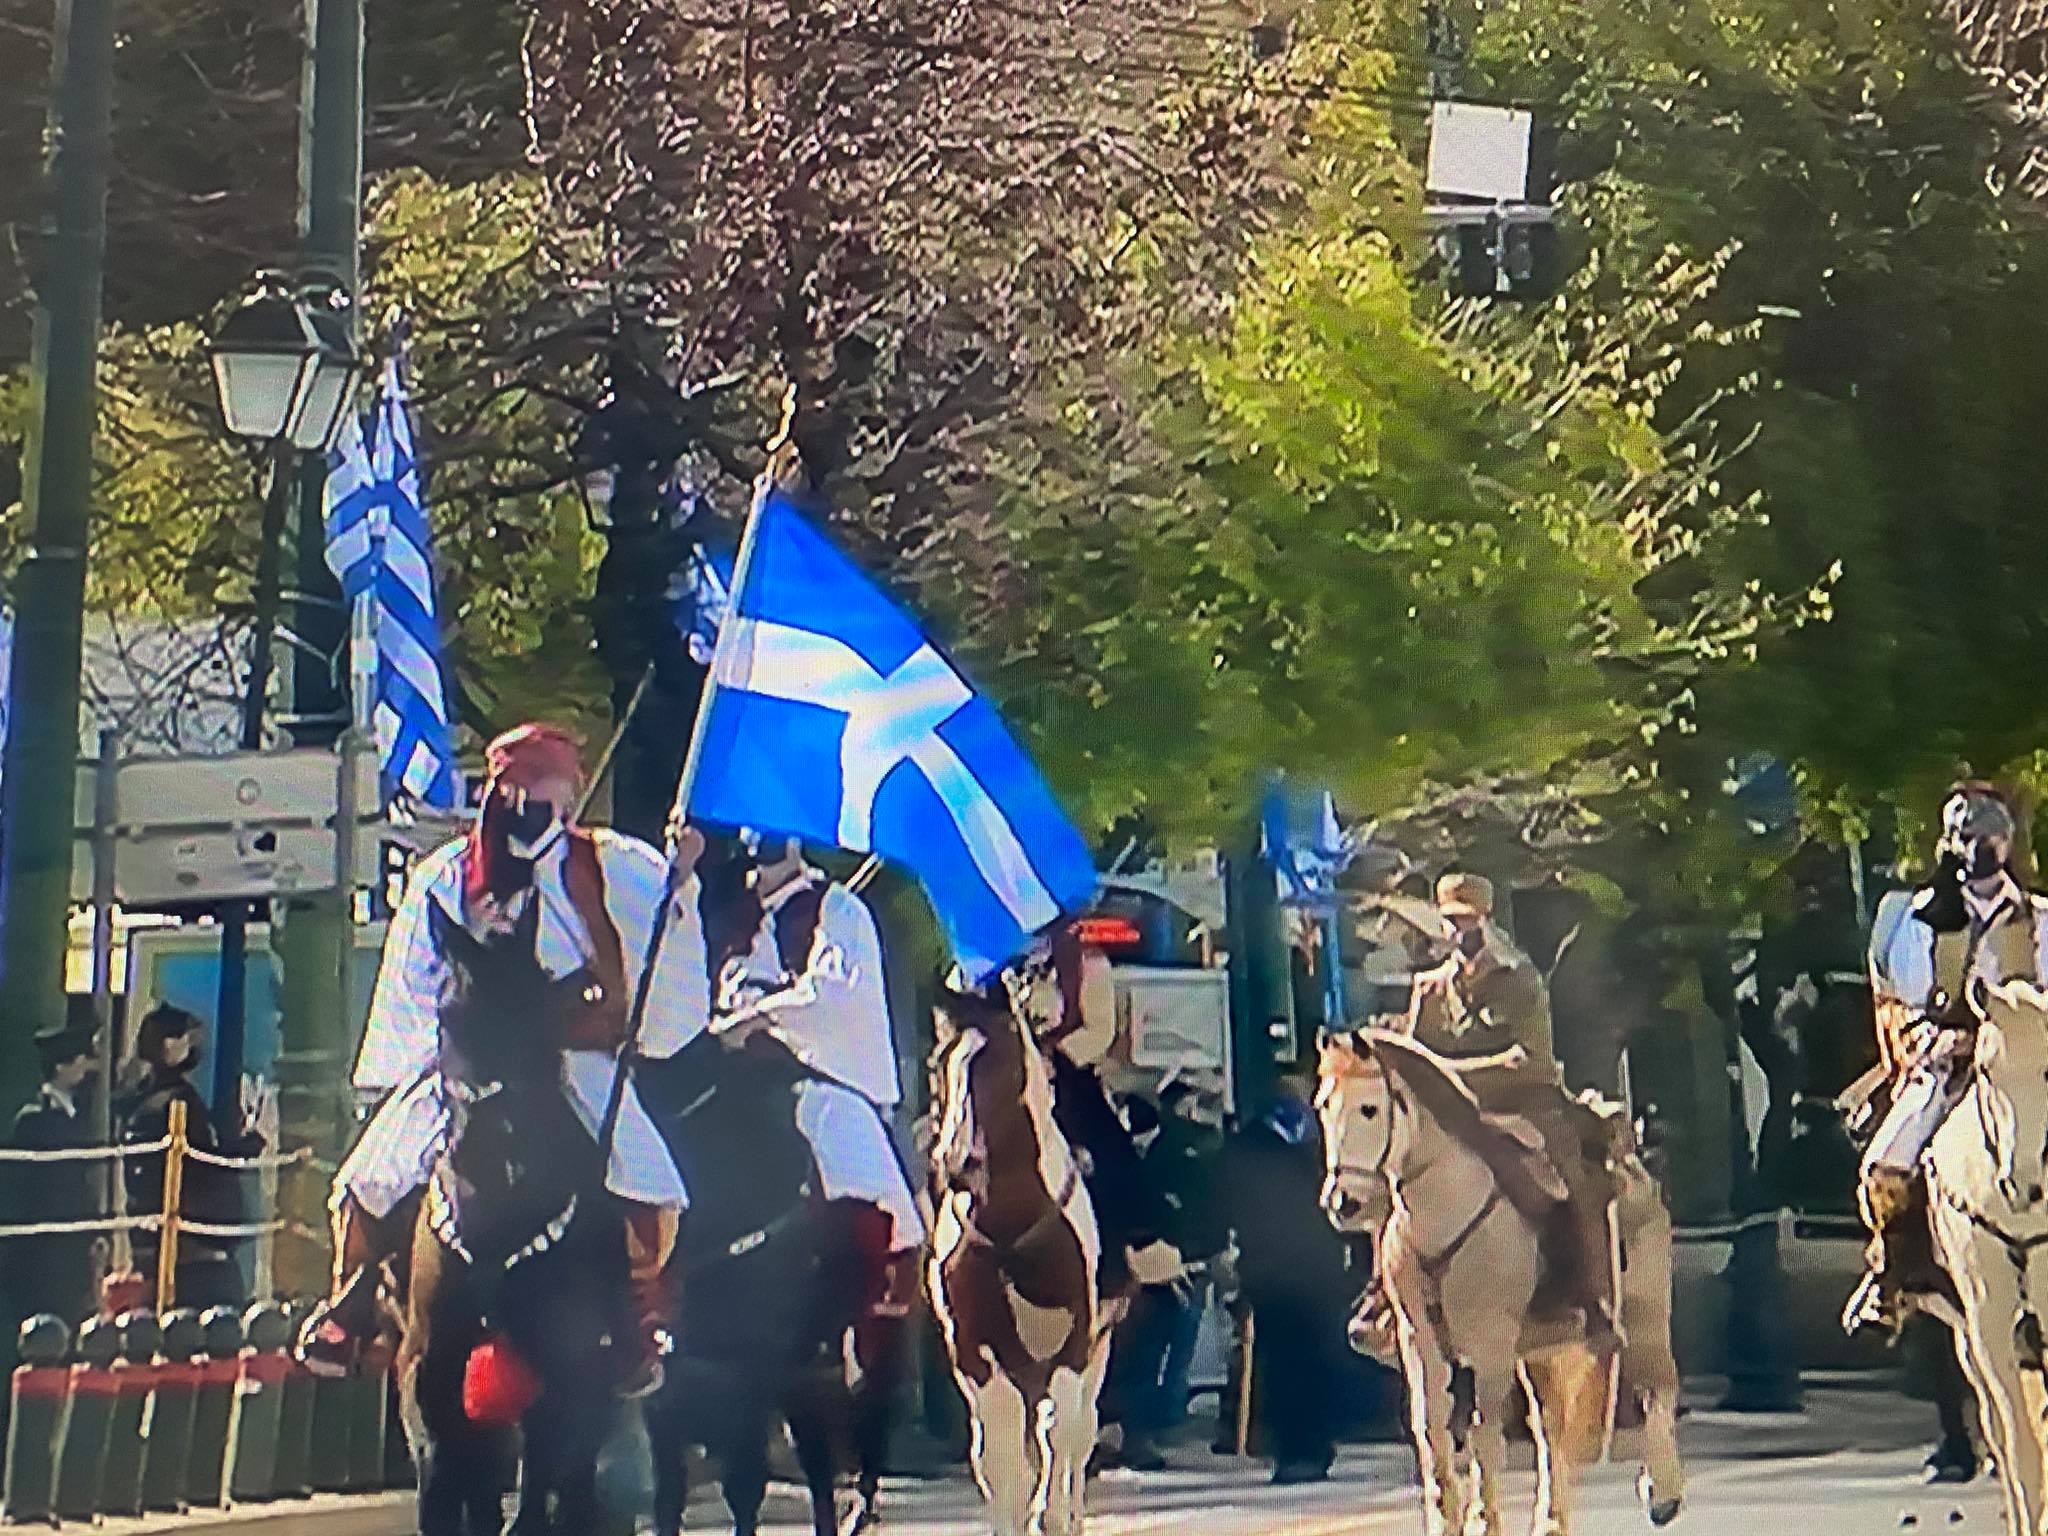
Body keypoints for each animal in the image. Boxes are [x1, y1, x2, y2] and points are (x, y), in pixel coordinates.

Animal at [393, 909, 622, 1536]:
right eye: (448, 1016)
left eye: (544, 1005)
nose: (503, 1155)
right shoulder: (427, 1362)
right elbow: (440, 1469)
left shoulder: (567, 1370)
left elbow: (542, 1479)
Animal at [1318, 1028, 1687, 1536]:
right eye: (1323, 1106)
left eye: (1369, 1108)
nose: (1344, 1202)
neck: (1447, 1209)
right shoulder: (1420, 1342)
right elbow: (1431, 1430)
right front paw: (1446, 1517)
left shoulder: (1492, 1344)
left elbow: (1484, 1432)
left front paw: (1481, 1520)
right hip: (1541, 1351)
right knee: (1551, 1428)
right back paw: (1552, 1519)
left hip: (1642, 1312)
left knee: (1656, 1391)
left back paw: (1662, 1493)